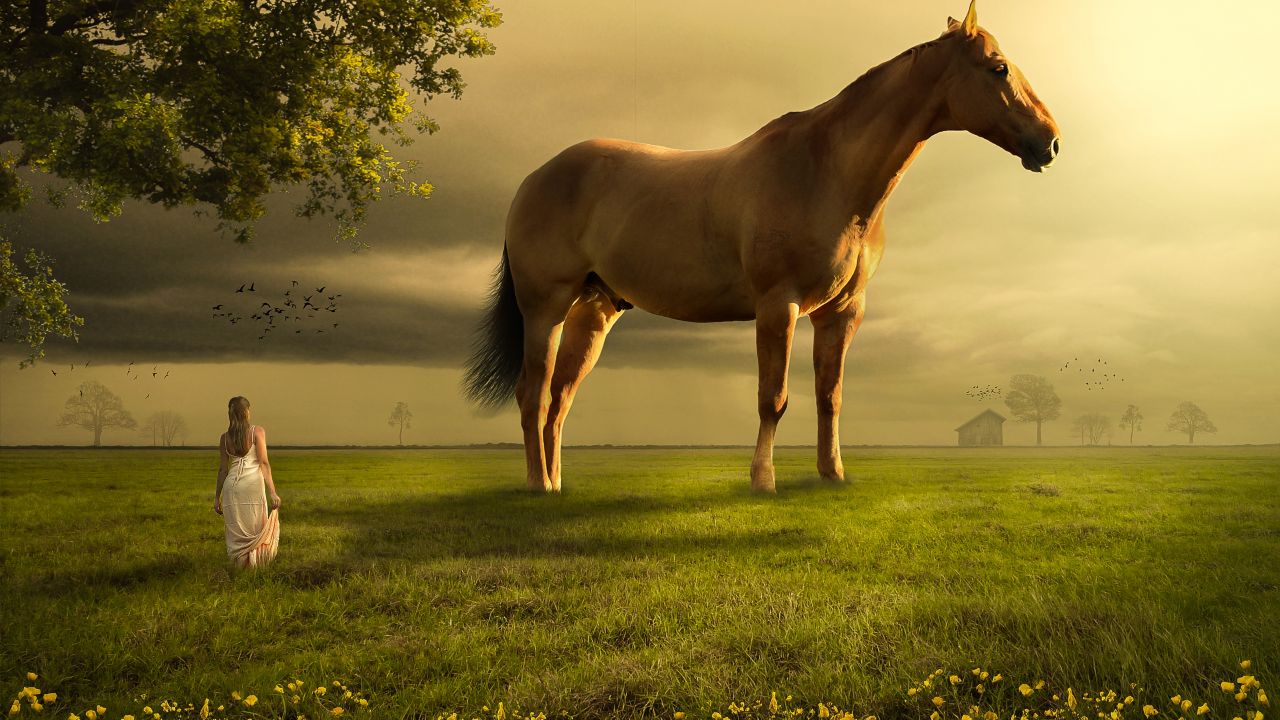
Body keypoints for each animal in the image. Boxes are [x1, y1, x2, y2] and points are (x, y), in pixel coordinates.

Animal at [464, 2, 1060, 493]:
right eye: (998, 68)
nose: (1050, 142)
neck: (827, 172)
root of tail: (536, 176)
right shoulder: (779, 305)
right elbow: (773, 398)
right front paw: (763, 481)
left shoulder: (842, 312)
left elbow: (829, 397)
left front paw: (832, 475)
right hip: (545, 309)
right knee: (533, 394)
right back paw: (537, 487)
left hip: (594, 312)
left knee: (560, 401)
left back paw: (555, 484)